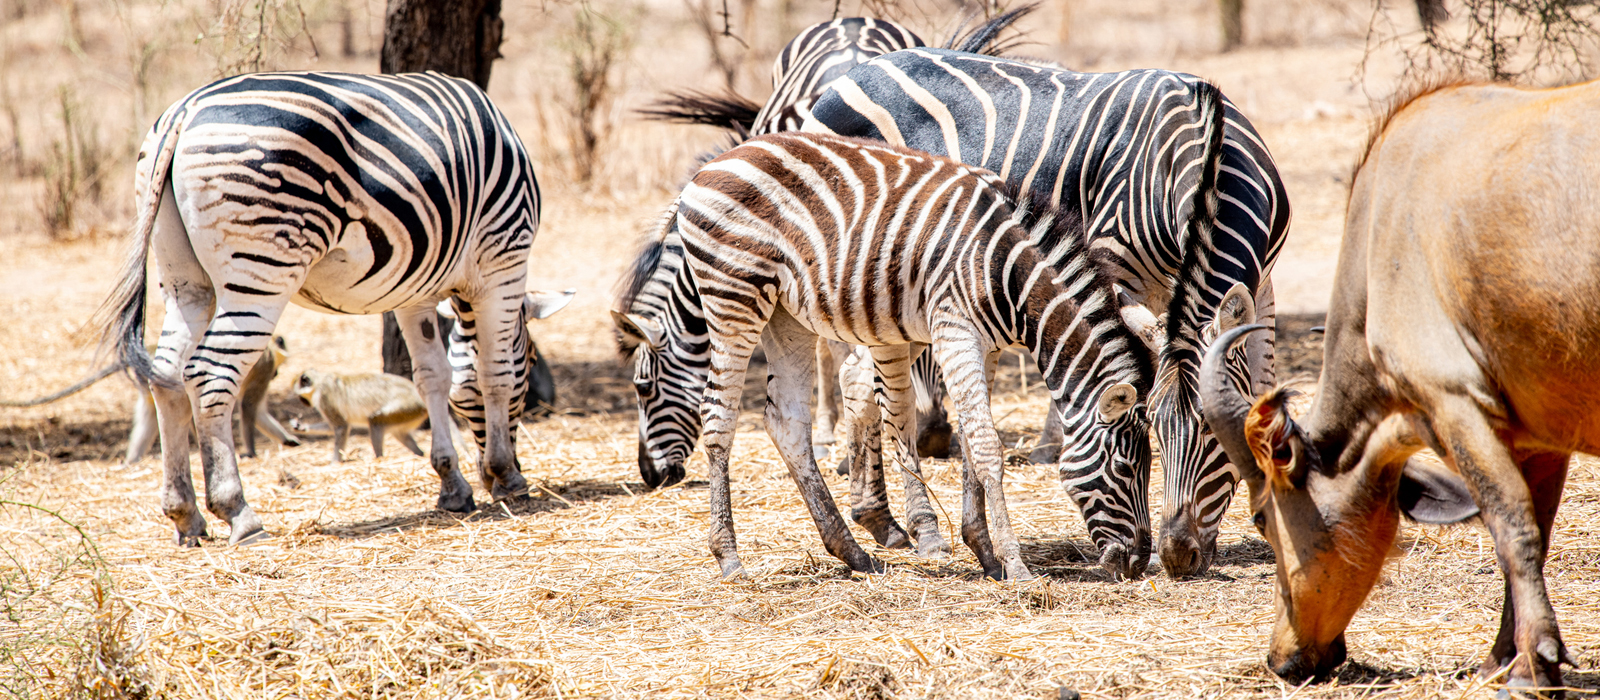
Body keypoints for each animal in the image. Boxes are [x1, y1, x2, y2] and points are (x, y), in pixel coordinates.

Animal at [292, 369, 428, 463]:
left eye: (300, 397)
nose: (302, 402)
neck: (320, 381)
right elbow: (332, 427)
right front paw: (302, 427)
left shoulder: (324, 397)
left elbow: (341, 427)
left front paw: (335, 462)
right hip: (410, 414)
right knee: (399, 432)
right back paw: (420, 454)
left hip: (406, 408)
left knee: (375, 421)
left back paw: (379, 459)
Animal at [614, 130, 1197, 580]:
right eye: (1125, 466)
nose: (1137, 563)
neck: (1007, 273)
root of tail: (709, 168)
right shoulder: (956, 330)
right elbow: (985, 447)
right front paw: (1015, 566)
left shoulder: (982, 345)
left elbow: (971, 446)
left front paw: (983, 551)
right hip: (733, 299)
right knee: (718, 419)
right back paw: (730, 558)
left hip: (785, 316)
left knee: (787, 423)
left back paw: (851, 552)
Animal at [802, 48, 1290, 577]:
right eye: (1158, 432)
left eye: (1213, 430)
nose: (1176, 555)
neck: (1203, 158)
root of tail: (856, 71)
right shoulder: (1112, 270)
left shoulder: (1263, 283)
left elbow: (1261, 385)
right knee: (880, 389)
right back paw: (917, 525)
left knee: (856, 377)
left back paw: (878, 518)